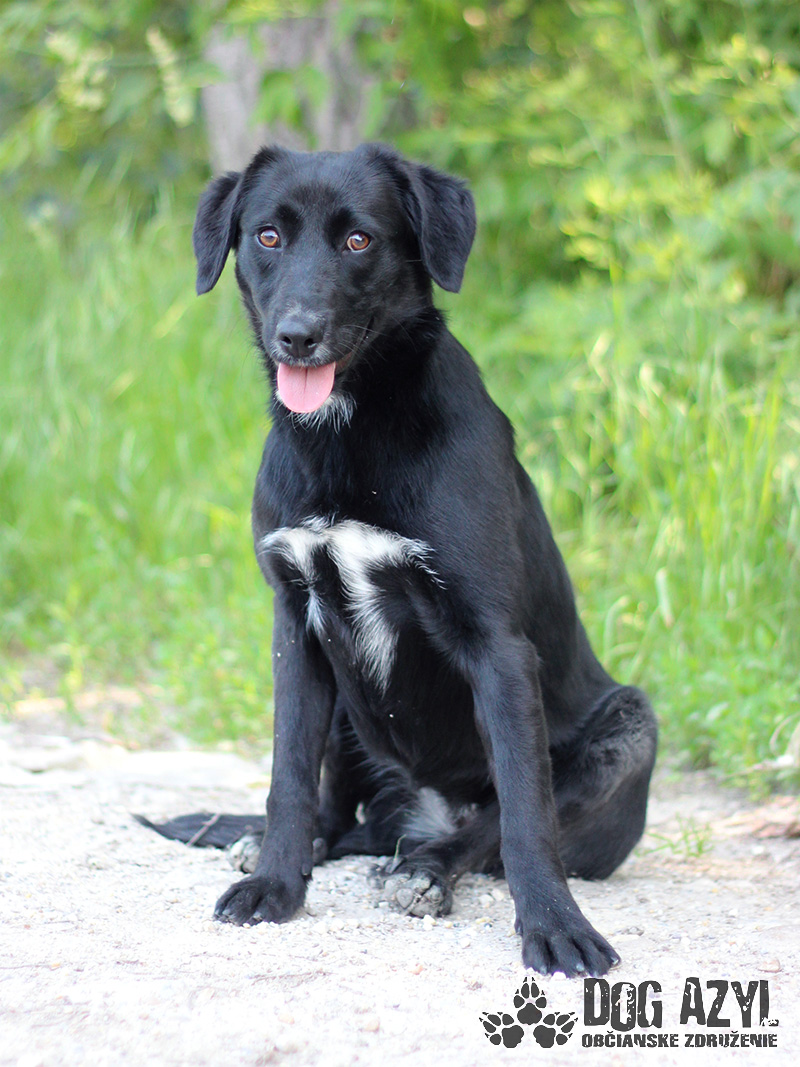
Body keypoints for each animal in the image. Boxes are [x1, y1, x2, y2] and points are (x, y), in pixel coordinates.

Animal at [140, 143, 657, 977]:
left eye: (360, 240)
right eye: (268, 236)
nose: (297, 335)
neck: (351, 429)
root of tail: (408, 817)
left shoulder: (498, 646)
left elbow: (525, 811)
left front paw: (554, 926)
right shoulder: (296, 623)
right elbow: (287, 775)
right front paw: (276, 884)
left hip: (632, 727)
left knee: (477, 834)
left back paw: (425, 869)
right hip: (345, 705)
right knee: (333, 812)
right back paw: (285, 846)